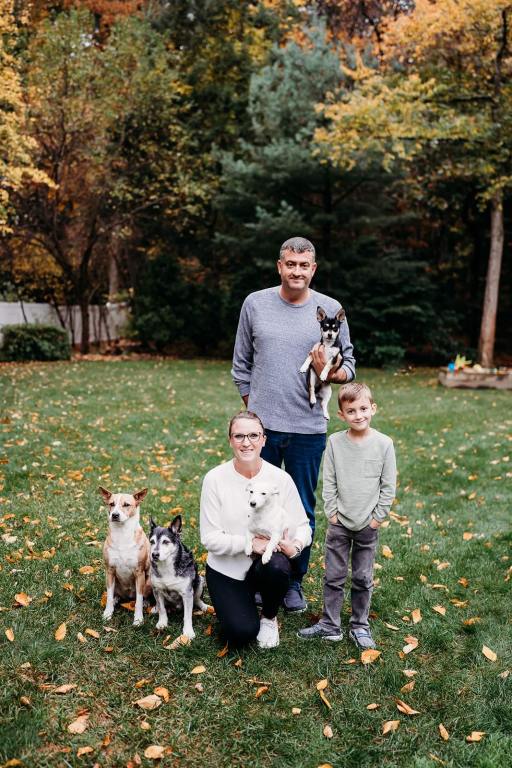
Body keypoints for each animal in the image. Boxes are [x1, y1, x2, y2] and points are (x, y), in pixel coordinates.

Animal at [98, 488, 150, 628]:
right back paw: (116, 600)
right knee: (114, 594)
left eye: (126, 504)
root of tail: (128, 597)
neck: (122, 534)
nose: (114, 515)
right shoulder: (110, 571)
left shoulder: (139, 572)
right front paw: (107, 613)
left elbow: (139, 599)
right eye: (111, 504)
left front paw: (138, 619)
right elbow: (109, 596)